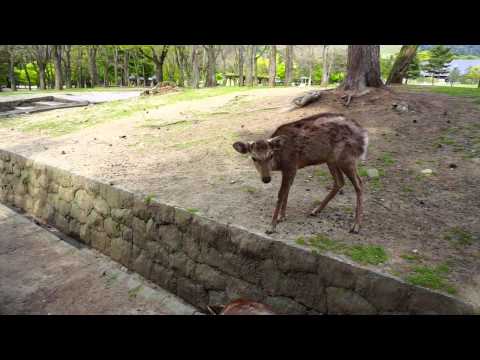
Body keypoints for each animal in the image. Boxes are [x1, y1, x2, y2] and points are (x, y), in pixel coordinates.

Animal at [232, 114, 368, 235]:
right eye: (254, 158)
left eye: (270, 155)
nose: (266, 179)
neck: (279, 161)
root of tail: (364, 136)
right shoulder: (291, 168)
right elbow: (287, 190)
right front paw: (282, 216)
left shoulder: (291, 165)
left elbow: (281, 193)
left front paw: (271, 226)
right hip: (331, 159)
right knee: (339, 182)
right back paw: (315, 210)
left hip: (346, 157)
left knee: (359, 184)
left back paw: (356, 226)